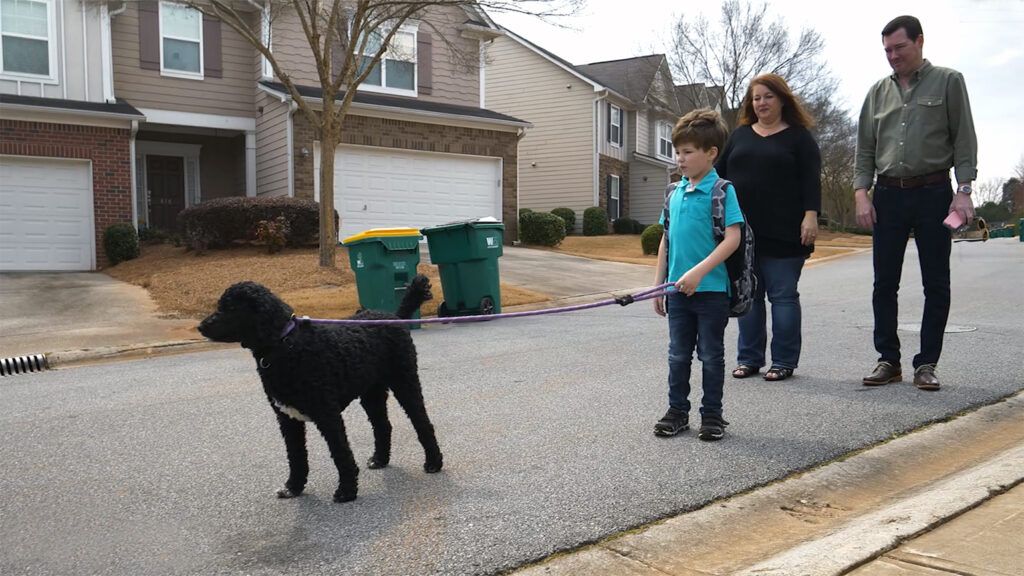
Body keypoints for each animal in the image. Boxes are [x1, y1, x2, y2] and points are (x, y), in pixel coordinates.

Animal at [197, 270, 442, 500]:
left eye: (229, 307)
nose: (200, 327)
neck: (285, 346)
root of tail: (394, 317)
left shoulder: (327, 414)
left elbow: (340, 452)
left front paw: (346, 491)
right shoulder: (287, 419)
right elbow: (296, 456)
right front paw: (293, 487)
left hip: (405, 383)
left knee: (423, 423)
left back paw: (434, 462)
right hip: (371, 394)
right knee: (383, 426)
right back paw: (380, 459)